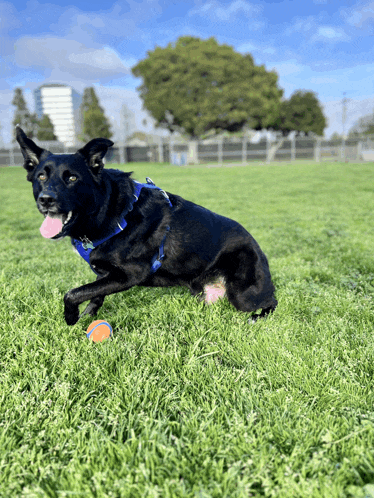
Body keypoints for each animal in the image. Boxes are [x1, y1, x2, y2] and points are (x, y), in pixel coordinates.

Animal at [16, 126, 276, 324]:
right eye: (41, 176)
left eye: (72, 178)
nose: (46, 200)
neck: (112, 213)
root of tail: (259, 249)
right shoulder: (105, 275)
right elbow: (92, 292)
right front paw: (88, 315)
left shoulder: (129, 275)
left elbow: (72, 293)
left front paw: (70, 318)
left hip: (243, 294)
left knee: (272, 301)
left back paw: (258, 316)